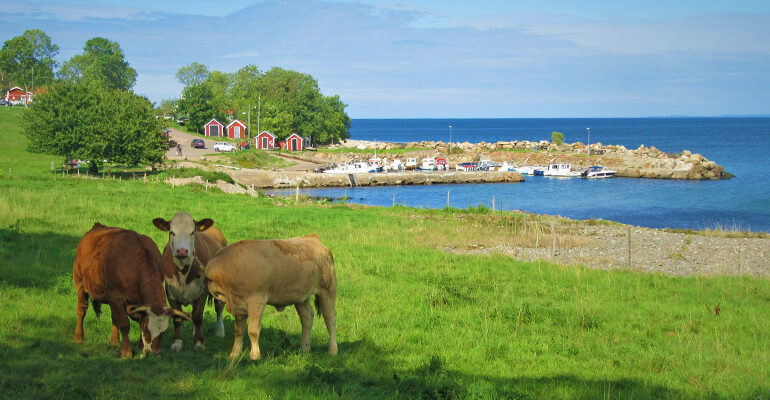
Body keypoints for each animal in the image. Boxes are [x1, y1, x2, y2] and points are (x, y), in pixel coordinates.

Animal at [73, 223, 191, 358]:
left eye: (164, 331)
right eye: (147, 329)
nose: (153, 353)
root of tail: (97, 226)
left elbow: (133, 319)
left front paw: (140, 346)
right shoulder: (116, 297)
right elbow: (124, 324)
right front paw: (127, 352)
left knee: (114, 317)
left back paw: (115, 342)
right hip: (80, 284)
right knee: (81, 310)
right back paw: (78, 337)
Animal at [152, 212, 227, 352]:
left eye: (192, 232)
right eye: (172, 232)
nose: (182, 250)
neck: (183, 271)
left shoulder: (203, 291)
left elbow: (198, 317)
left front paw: (199, 342)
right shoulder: (170, 293)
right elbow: (177, 318)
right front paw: (176, 343)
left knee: (218, 308)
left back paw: (220, 331)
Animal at [205, 234, 338, 360]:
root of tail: (313, 238)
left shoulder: (257, 302)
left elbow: (253, 330)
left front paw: (255, 356)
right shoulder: (238, 306)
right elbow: (239, 331)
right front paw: (234, 354)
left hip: (327, 291)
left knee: (330, 318)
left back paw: (333, 350)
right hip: (301, 298)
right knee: (307, 317)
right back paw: (304, 349)